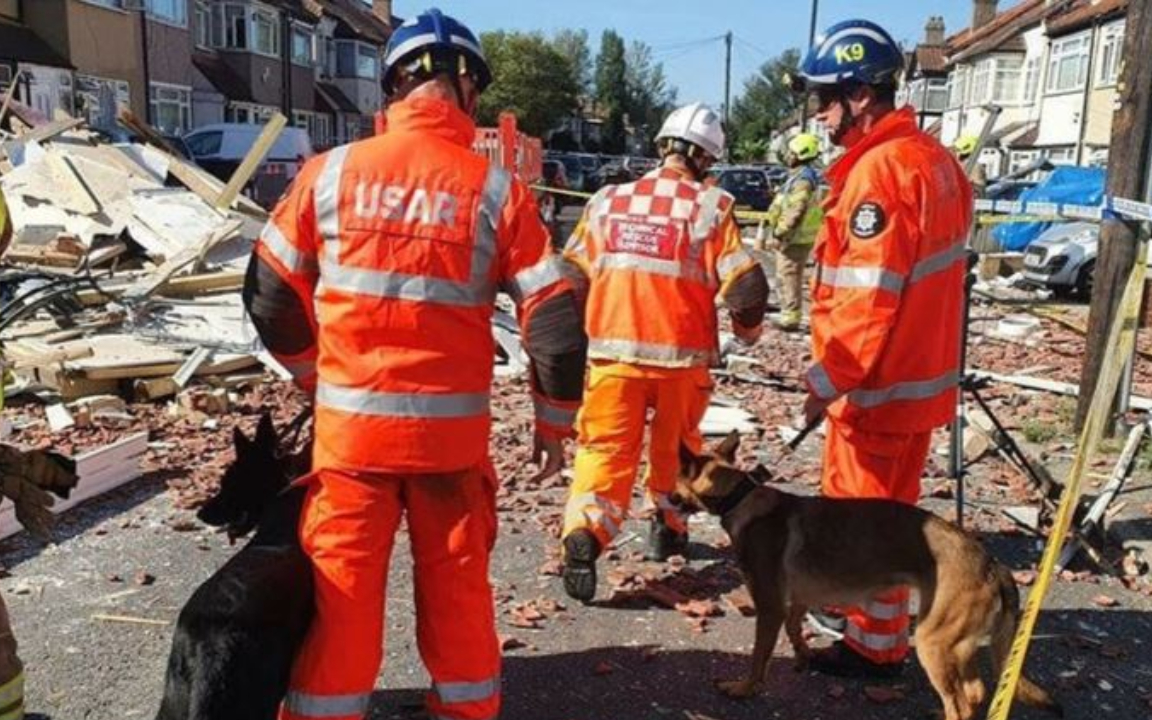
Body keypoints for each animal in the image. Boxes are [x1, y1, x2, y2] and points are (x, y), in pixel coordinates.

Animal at [672, 433, 1059, 718]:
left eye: (674, 480)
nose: (663, 499)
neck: (739, 496)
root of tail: (992, 563)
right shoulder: (799, 598)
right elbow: (795, 627)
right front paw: (803, 656)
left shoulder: (770, 606)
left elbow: (758, 656)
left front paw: (744, 688)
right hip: (956, 644)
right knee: (975, 692)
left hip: (933, 641)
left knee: (962, 704)